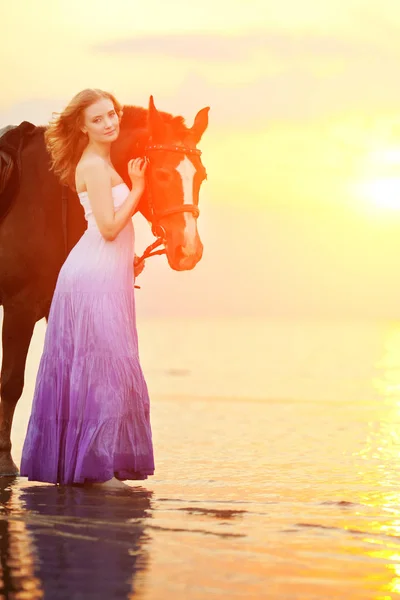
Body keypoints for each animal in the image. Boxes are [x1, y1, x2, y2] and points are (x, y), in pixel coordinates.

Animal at [0, 96, 211, 476]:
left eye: (200, 176)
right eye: (160, 174)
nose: (189, 251)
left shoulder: (57, 305)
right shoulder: (18, 307)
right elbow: (11, 383)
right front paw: (5, 459)